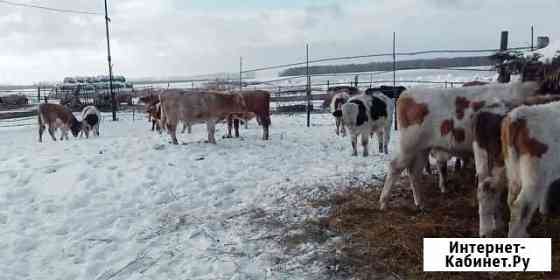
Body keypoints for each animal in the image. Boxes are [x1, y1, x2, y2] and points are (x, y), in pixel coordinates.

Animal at [378, 81, 540, 210]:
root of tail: (407, 94)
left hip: (422, 149)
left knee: (414, 172)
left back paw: (420, 203)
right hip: (409, 145)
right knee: (395, 167)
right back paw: (384, 202)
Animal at [474, 95, 560, 237]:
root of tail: (517, 117)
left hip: (505, 167)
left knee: (489, 189)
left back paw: (485, 231)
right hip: (534, 175)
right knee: (520, 208)